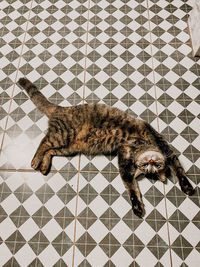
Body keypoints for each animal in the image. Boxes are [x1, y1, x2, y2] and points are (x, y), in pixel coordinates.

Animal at [18, 78, 195, 219]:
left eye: (155, 166)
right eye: (145, 165)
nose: (150, 161)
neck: (140, 145)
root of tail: (61, 108)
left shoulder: (125, 157)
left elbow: (134, 184)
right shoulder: (158, 146)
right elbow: (174, 170)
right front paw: (185, 186)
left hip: (68, 147)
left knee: (50, 150)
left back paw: (44, 165)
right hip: (63, 135)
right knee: (44, 142)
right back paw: (36, 161)